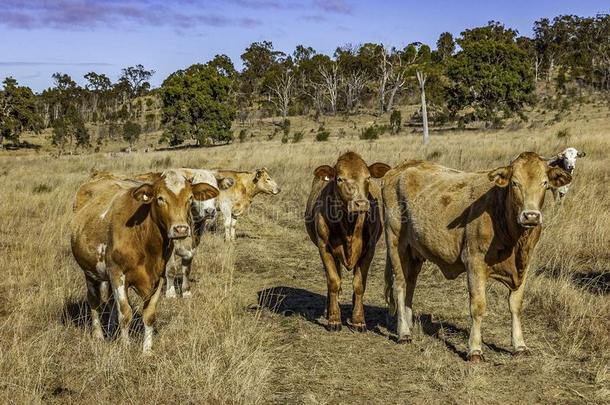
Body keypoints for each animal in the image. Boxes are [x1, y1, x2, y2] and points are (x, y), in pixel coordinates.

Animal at [70, 169, 217, 352]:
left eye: (190, 198)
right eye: (160, 198)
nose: (181, 229)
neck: (145, 240)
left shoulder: (158, 277)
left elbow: (149, 315)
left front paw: (147, 350)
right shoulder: (117, 274)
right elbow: (125, 313)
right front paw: (125, 346)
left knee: (111, 302)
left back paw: (111, 328)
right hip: (90, 271)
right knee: (94, 300)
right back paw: (98, 335)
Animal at [304, 152, 390, 332]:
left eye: (368, 177)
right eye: (339, 179)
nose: (361, 204)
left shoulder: (369, 250)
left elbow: (359, 284)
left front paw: (358, 320)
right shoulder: (324, 247)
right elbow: (333, 281)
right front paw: (334, 319)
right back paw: (329, 309)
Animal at [380, 152, 568, 360]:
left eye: (545, 183)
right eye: (515, 183)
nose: (531, 216)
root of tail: (400, 167)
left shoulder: (524, 267)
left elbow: (516, 305)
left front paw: (520, 345)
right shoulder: (474, 263)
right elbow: (478, 307)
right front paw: (475, 349)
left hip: (415, 251)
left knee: (410, 284)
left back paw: (409, 323)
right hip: (395, 243)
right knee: (399, 285)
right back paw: (403, 332)